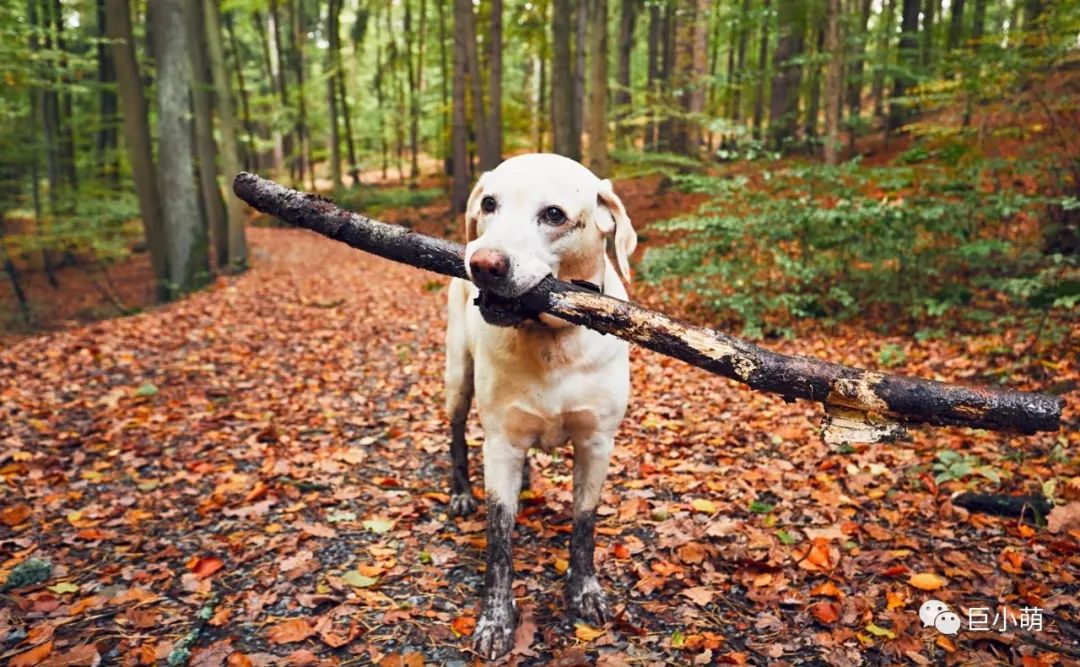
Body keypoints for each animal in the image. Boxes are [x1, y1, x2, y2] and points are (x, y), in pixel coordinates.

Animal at [442, 153, 635, 656]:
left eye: (553, 215)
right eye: (489, 204)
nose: (483, 263)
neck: (550, 339)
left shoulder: (596, 443)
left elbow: (584, 525)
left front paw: (584, 591)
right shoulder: (500, 445)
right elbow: (499, 541)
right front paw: (495, 620)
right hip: (457, 379)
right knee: (456, 435)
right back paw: (460, 492)